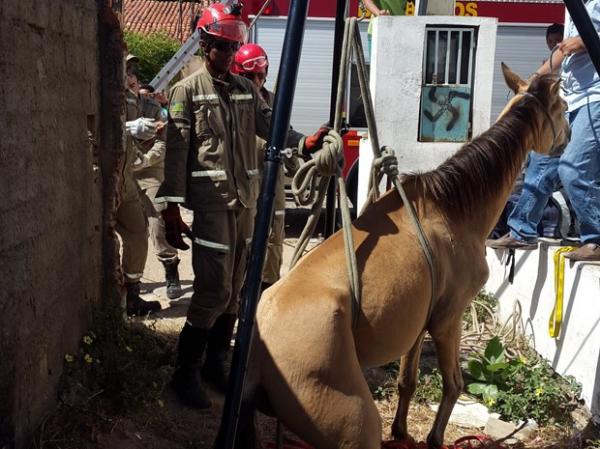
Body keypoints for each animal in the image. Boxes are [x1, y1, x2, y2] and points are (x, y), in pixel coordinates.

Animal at [237, 63, 568, 448]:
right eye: (562, 106)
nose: (567, 136)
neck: (452, 208)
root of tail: (258, 351)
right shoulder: (448, 318)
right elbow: (453, 385)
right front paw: (435, 438)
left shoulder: (419, 321)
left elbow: (407, 382)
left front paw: (401, 432)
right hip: (359, 428)